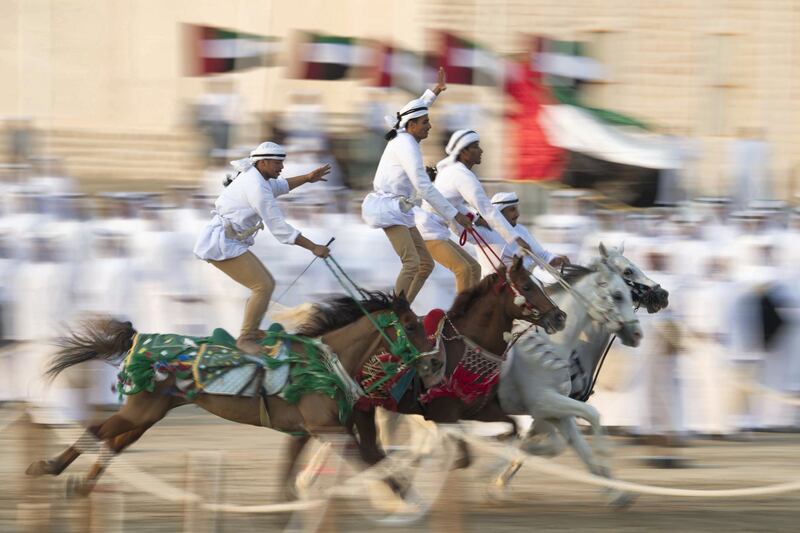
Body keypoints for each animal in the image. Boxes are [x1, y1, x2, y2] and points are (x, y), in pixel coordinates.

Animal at [25, 290, 432, 494]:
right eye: (411, 325)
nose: (433, 361)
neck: (325, 363)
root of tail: (141, 339)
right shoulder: (328, 430)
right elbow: (374, 467)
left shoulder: (308, 431)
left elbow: (288, 476)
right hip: (140, 410)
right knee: (97, 432)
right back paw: (46, 466)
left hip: (150, 412)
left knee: (114, 443)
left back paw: (82, 485)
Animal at [500, 247, 644, 504]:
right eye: (618, 294)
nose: (637, 334)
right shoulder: (543, 402)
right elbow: (588, 420)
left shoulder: (555, 409)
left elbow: (574, 446)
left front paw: (616, 493)